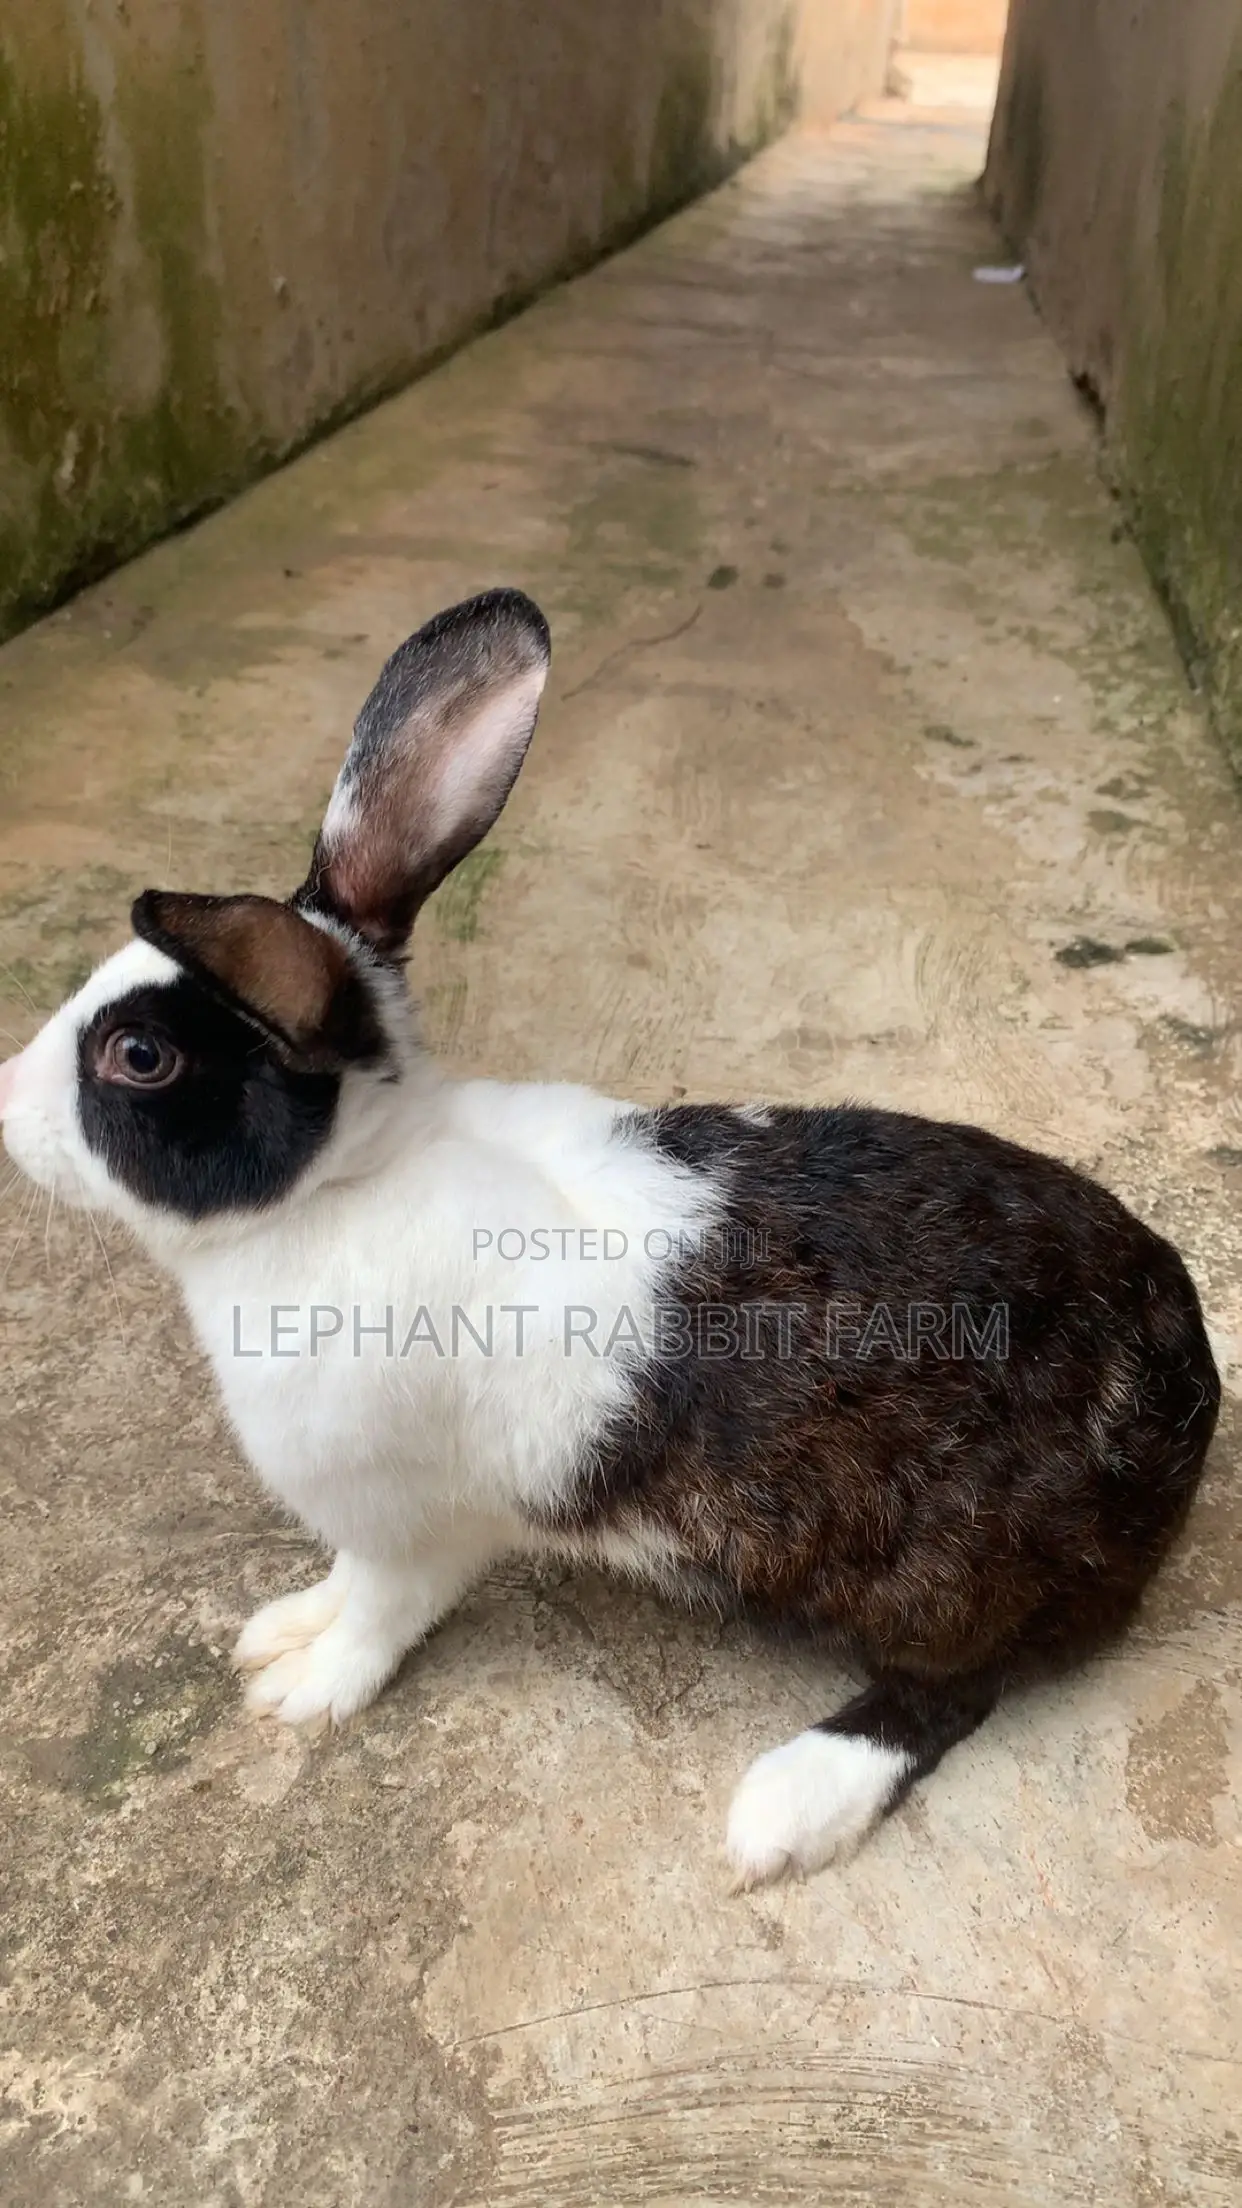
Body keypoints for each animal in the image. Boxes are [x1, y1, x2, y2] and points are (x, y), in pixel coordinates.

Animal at [0, 587, 1219, 1887]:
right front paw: (278, 1633)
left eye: (138, 1056)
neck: (348, 1181)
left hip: (947, 1577)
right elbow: (338, 1590)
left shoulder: (407, 1522)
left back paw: (786, 1807)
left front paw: (305, 1692)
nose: (6, 1103)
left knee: (952, 1690)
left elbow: (381, 1613)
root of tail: (1184, 1379)